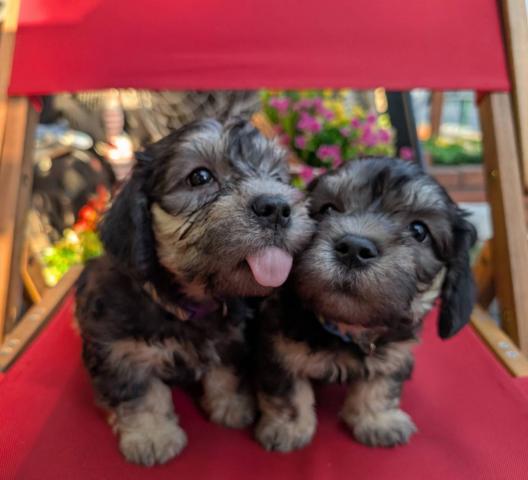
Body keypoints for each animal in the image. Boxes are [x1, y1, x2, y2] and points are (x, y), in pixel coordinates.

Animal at [75, 118, 313, 466]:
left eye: (280, 178)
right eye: (199, 177)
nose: (277, 207)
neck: (187, 303)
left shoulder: (230, 338)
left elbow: (225, 373)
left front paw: (232, 406)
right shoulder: (121, 352)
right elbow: (141, 393)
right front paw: (151, 436)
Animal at [254, 157, 476, 452]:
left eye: (419, 230)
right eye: (327, 209)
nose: (354, 247)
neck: (346, 328)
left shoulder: (395, 350)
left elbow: (382, 381)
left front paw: (377, 420)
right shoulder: (277, 346)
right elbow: (287, 387)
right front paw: (288, 427)